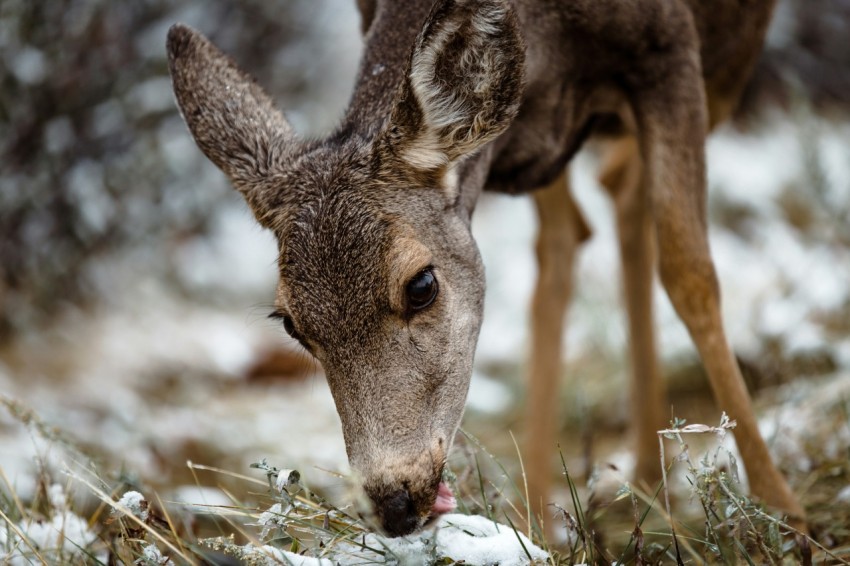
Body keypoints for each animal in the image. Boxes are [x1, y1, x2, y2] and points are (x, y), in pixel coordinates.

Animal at [167, 0, 806, 537]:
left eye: (421, 285)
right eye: (291, 324)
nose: (395, 504)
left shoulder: (669, 49)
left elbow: (689, 271)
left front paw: (785, 513)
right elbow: (557, 259)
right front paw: (535, 525)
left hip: (729, 63)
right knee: (602, 205)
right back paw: (644, 475)